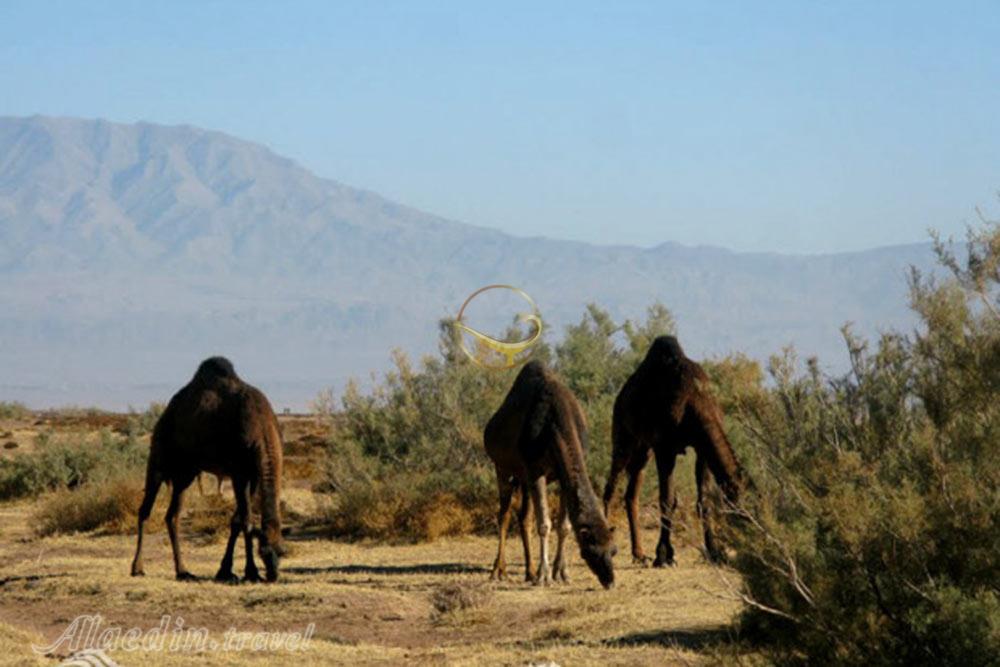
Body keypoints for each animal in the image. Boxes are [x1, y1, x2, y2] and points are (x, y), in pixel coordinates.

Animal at [130, 358, 286, 580]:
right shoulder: (239, 473)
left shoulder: (253, 476)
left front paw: (226, 570)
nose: (273, 574)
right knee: (145, 510)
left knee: (172, 515)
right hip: (158, 460)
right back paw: (138, 568)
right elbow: (246, 520)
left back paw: (183, 571)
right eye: (262, 552)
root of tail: (165, 413)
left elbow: (237, 520)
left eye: (282, 552)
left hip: (185, 473)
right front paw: (250, 571)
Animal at [486, 360, 616, 588]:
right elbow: (544, 524)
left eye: (613, 551)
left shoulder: (560, 477)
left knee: (524, 517)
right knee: (504, 515)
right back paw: (498, 571)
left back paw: (528, 572)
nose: (609, 580)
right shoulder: (536, 470)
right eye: (590, 552)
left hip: (523, 477)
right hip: (501, 469)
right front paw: (544, 576)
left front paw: (561, 573)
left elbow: (564, 526)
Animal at [600, 340, 744, 568]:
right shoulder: (665, 448)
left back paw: (639, 554)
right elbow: (667, 499)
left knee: (631, 494)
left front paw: (714, 552)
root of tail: (620, 396)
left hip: (644, 450)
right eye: (741, 505)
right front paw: (663, 556)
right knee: (610, 487)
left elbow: (704, 500)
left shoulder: (701, 448)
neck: (695, 400)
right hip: (623, 437)